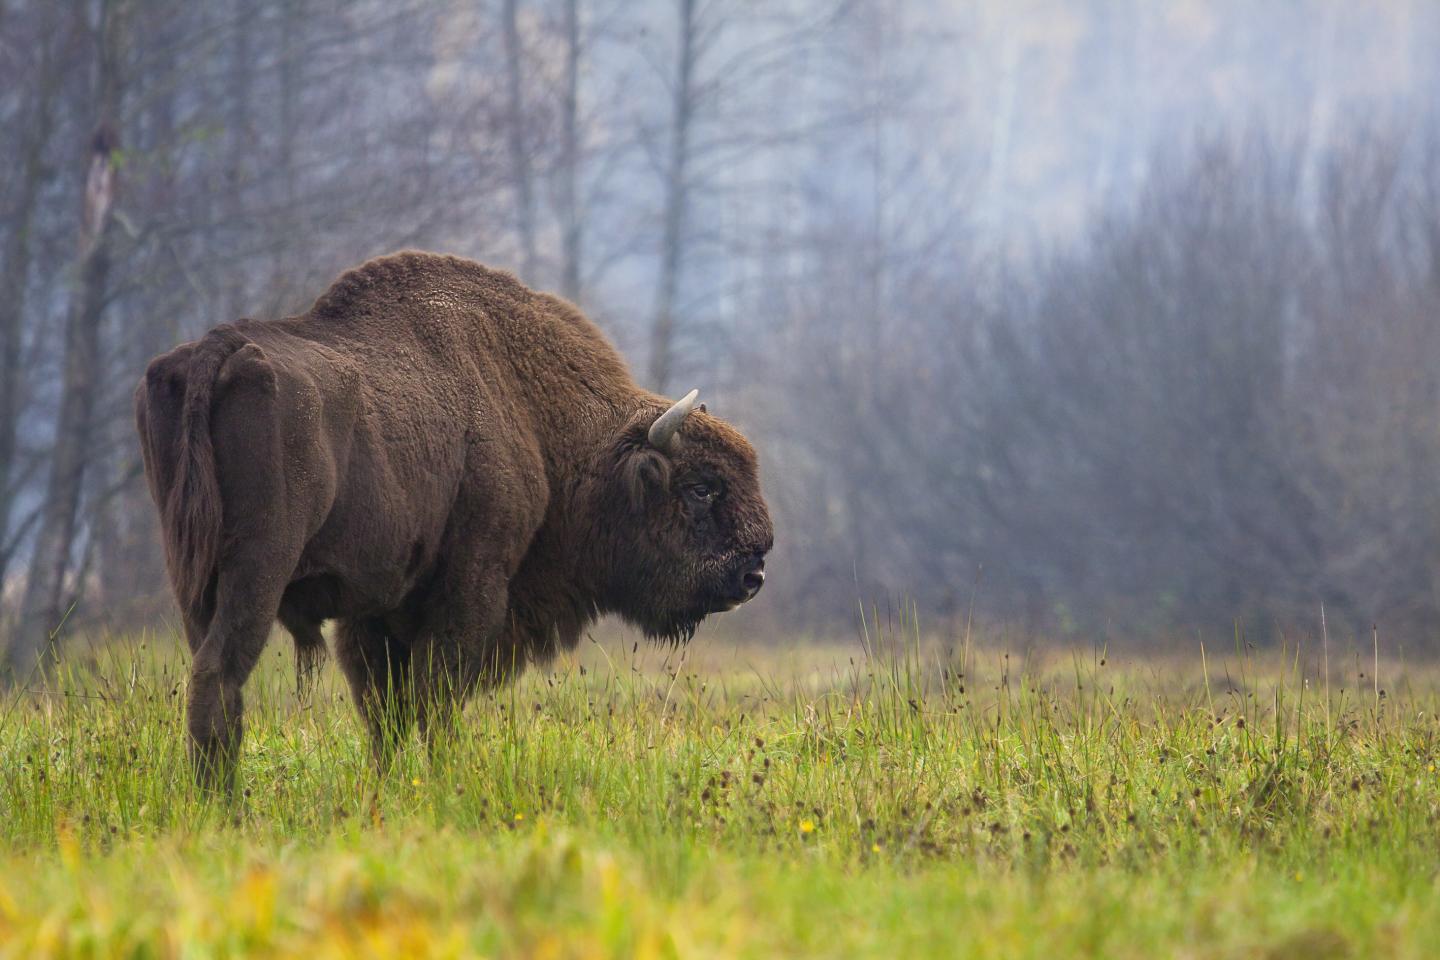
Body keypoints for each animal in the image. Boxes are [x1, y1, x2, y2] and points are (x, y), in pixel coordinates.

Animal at [135, 251, 772, 790]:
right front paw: (443, 782)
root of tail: (217, 348)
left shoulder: (374, 613)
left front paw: (390, 787)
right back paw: (225, 803)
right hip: (258, 569)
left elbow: (386, 711)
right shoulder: (470, 589)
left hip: (192, 576)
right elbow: (434, 700)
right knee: (220, 674)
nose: (753, 572)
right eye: (700, 487)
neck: (538, 417)